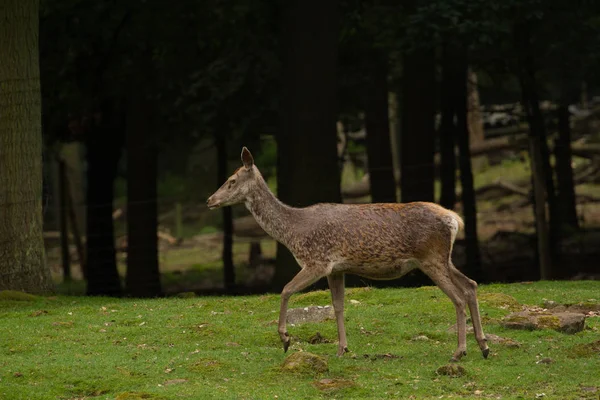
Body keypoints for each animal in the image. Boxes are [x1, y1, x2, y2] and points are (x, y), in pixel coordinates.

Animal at [209, 147, 490, 362]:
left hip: (430, 257)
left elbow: (286, 290)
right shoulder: (337, 269)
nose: (210, 199)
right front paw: (342, 349)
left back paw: (459, 352)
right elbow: (338, 306)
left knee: (457, 297)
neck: (293, 232)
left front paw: (286, 339)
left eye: (231, 180)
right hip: (444, 258)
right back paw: (484, 345)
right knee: (471, 285)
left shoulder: (317, 261)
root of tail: (454, 219)